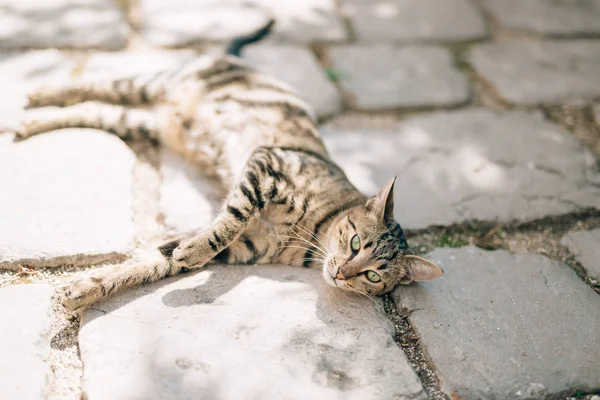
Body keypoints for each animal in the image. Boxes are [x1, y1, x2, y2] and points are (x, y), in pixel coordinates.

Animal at [16, 19, 442, 312]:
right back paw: (40, 95)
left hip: (144, 123)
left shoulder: (244, 248)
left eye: (373, 275)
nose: (340, 274)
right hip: (154, 83)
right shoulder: (267, 164)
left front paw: (88, 288)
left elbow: (155, 261)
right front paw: (193, 251)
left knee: (94, 111)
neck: (312, 234)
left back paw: (29, 123)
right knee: (99, 86)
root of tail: (237, 58)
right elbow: (231, 218)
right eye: (355, 243)